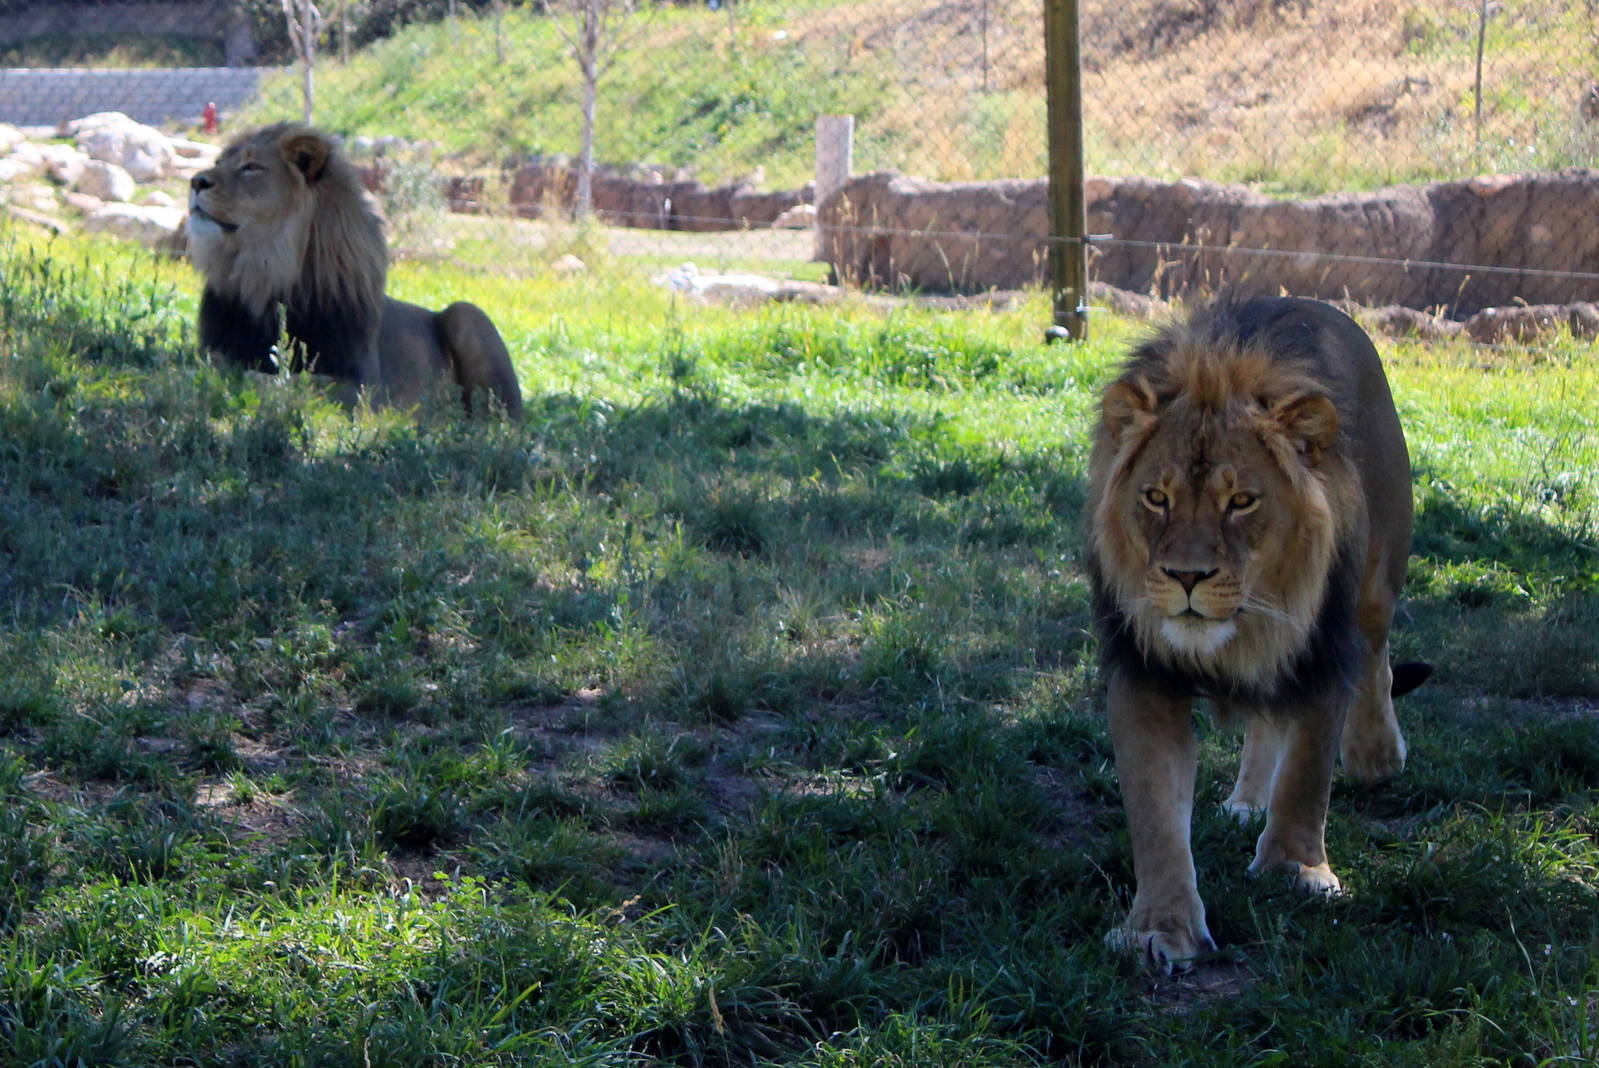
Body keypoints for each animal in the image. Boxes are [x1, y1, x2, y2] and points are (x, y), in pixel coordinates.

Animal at [186, 121, 523, 418]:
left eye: (251, 167)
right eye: (218, 162)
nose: (195, 181)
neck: (265, 274)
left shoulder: (365, 389)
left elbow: (299, 381)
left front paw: (246, 377)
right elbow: (208, 359)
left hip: (467, 314)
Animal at [1086, 297, 1431, 973]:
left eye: (1242, 501)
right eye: (1156, 497)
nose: (1186, 577)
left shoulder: (1318, 648)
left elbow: (1308, 770)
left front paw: (1295, 871)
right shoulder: (1143, 674)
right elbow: (1156, 813)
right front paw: (1160, 928)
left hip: (1379, 576)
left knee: (1375, 654)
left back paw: (1376, 755)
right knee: (1267, 717)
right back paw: (1247, 802)